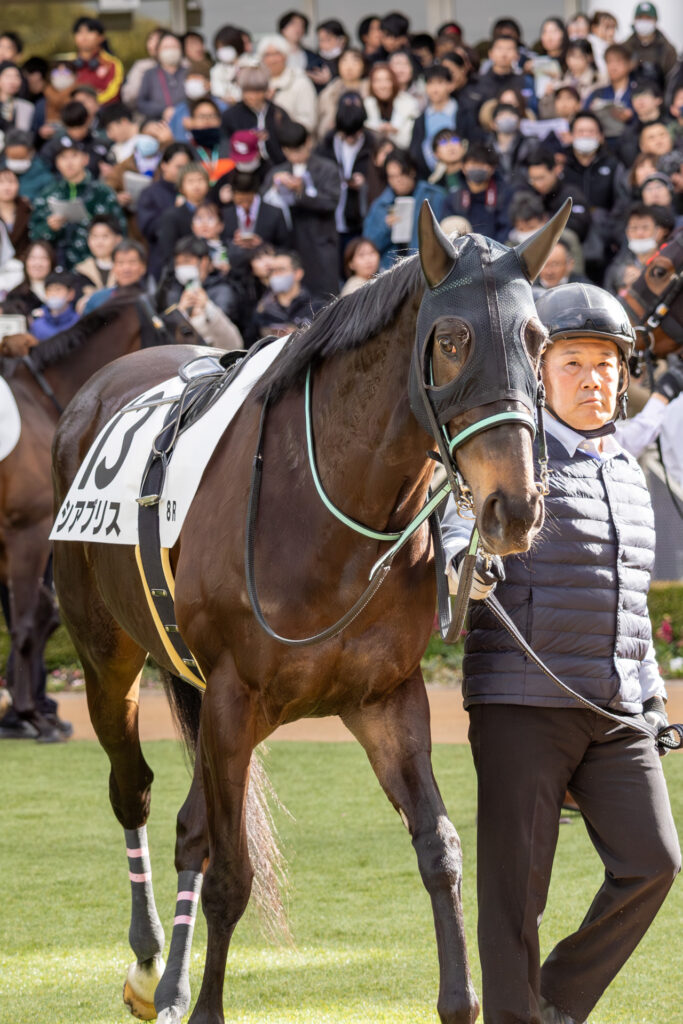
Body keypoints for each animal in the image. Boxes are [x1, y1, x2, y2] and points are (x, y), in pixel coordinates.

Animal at [0, 298, 202, 741]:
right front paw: (26, 713)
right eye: (185, 329)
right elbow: (25, 623)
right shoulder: (28, 534)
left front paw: (30, 713)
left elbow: (39, 619)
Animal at [51, 202, 570, 1024]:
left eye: (538, 341)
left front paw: (459, 998)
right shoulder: (234, 699)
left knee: (191, 827)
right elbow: (234, 876)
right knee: (133, 790)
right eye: (452, 341)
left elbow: (440, 850)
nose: (512, 506)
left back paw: (168, 981)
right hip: (108, 660)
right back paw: (148, 965)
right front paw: (205, 1006)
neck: (328, 515)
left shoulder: (385, 698)